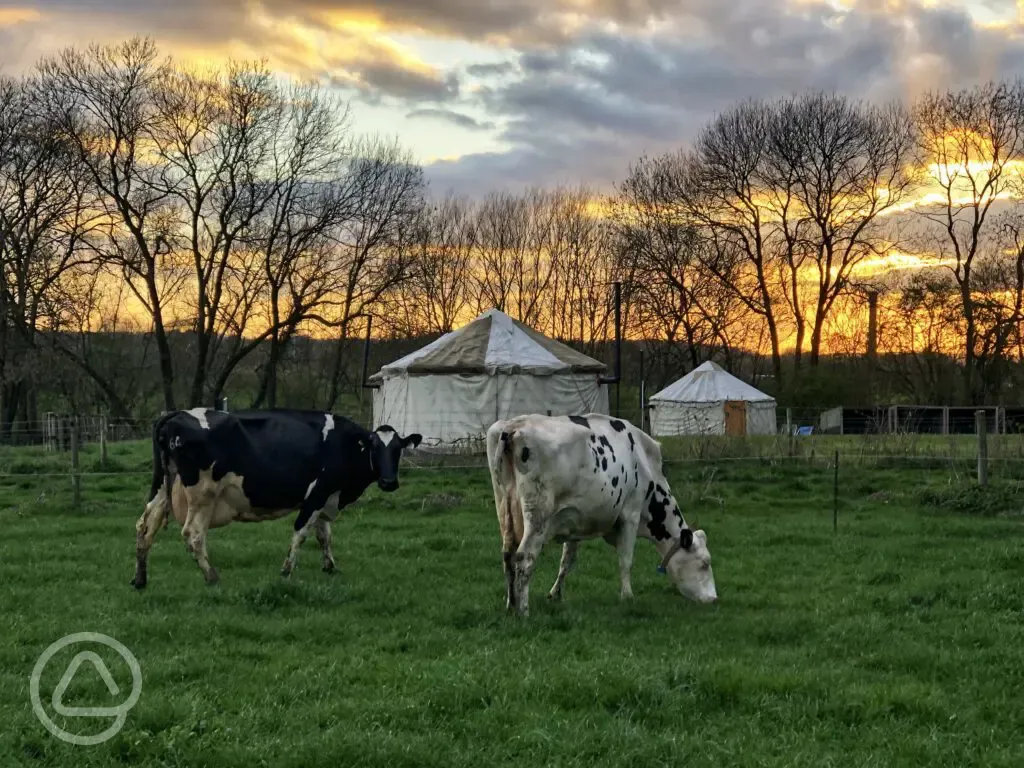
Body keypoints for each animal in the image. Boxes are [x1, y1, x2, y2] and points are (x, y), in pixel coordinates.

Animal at [132, 409, 419, 589]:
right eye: (375, 448)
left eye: (398, 450)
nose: (389, 482)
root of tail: (177, 414)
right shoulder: (316, 495)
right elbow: (301, 534)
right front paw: (286, 571)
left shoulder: (326, 497)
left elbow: (324, 535)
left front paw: (330, 567)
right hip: (203, 495)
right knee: (193, 534)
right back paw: (212, 577)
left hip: (162, 487)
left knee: (146, 527)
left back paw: (140, 580)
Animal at [487, 411, 720, 618]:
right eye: (704, 563)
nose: (714, 599)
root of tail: (513, 426)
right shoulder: (631, 514)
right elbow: (626, 560)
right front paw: (627, 596)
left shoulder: (573, 520)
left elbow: (567, 561)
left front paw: (555, 594)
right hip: (538, 516)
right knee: (524, 557)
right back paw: (523, 611)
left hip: (504, 509)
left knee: (508, 555)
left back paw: (510, 604)